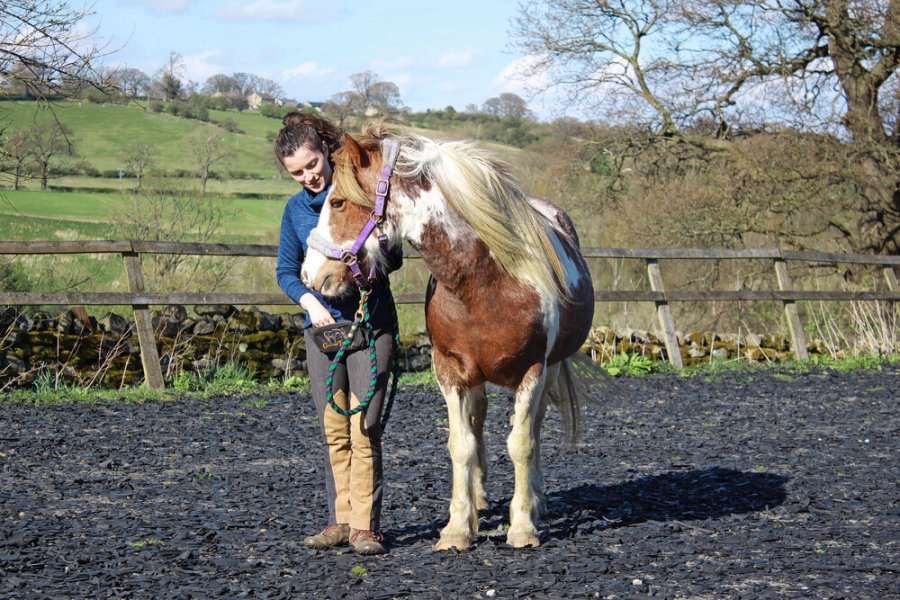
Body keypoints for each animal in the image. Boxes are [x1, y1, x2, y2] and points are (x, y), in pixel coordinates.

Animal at [302, 125, 596, 548]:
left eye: (338, 202)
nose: (310, 274)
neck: (485, 282)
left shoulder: (533, 371)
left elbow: (521, 443)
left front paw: (522, 526)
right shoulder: (450, 371)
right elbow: (461, 445)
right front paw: (457, 527)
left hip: (552, 368)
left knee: (535, 428)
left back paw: (536, 500)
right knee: (478, 422)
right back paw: (479, 500)